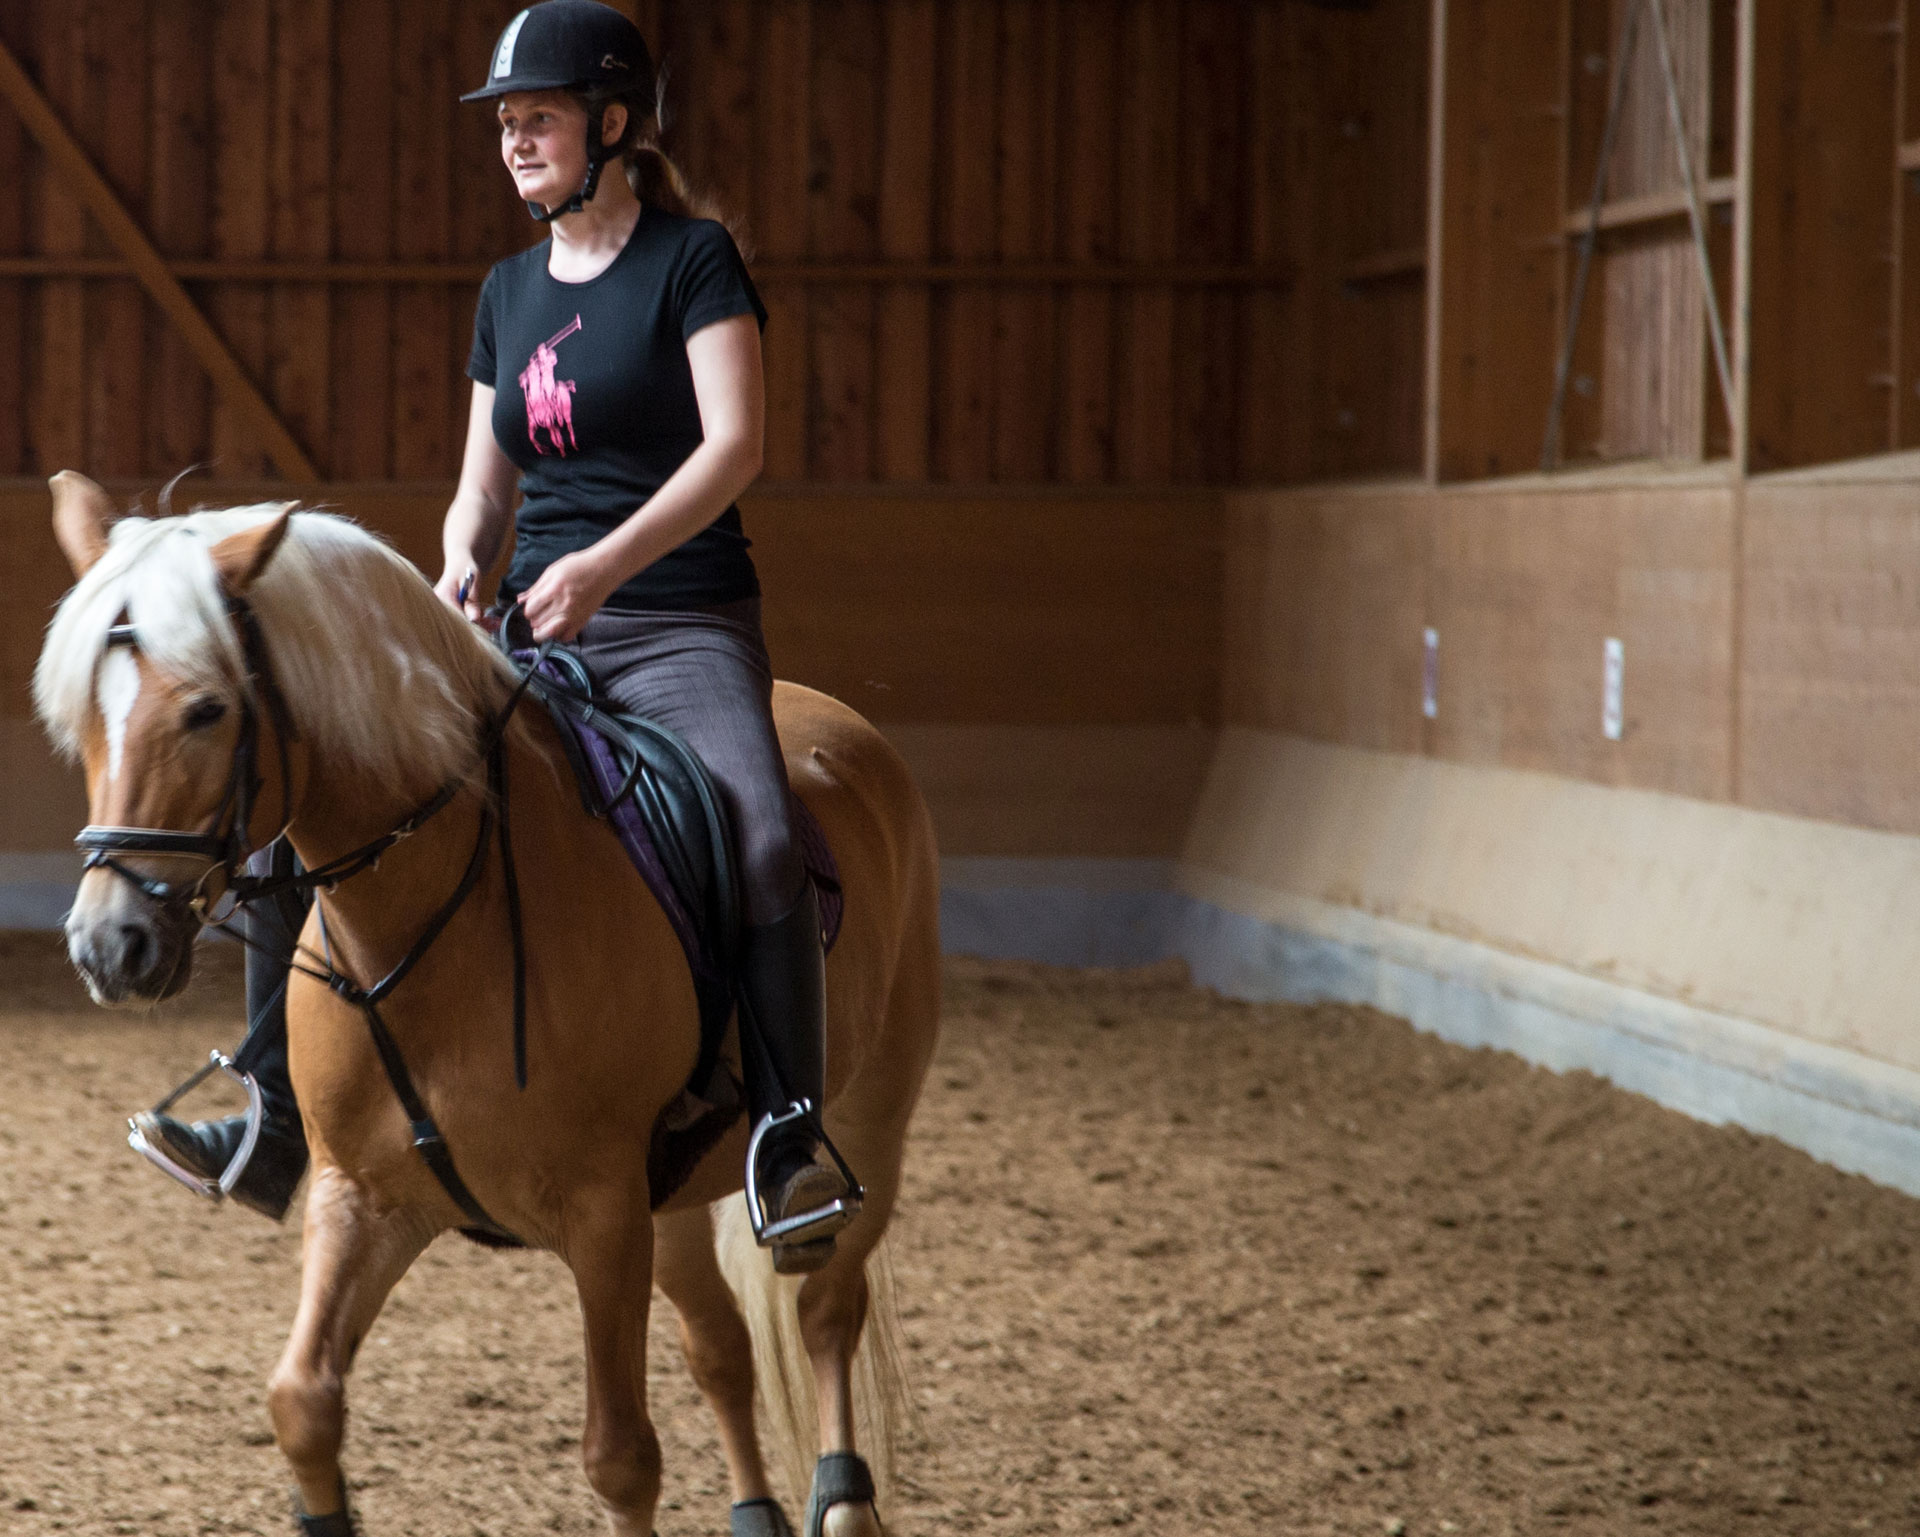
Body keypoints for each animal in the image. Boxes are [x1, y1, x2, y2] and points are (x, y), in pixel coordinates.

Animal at [33, 473, 940, 1527]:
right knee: (720, 1344)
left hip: (869, 1114)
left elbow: (620, 1459)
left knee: (827, 1309)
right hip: (677, 1191)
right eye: (84, 719)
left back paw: (841, 1496)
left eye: (209, 709)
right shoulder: (364, 1196)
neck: (429, 923)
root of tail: (837, 722)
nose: (109, 945)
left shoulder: (601, 1216)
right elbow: (302, 1403)